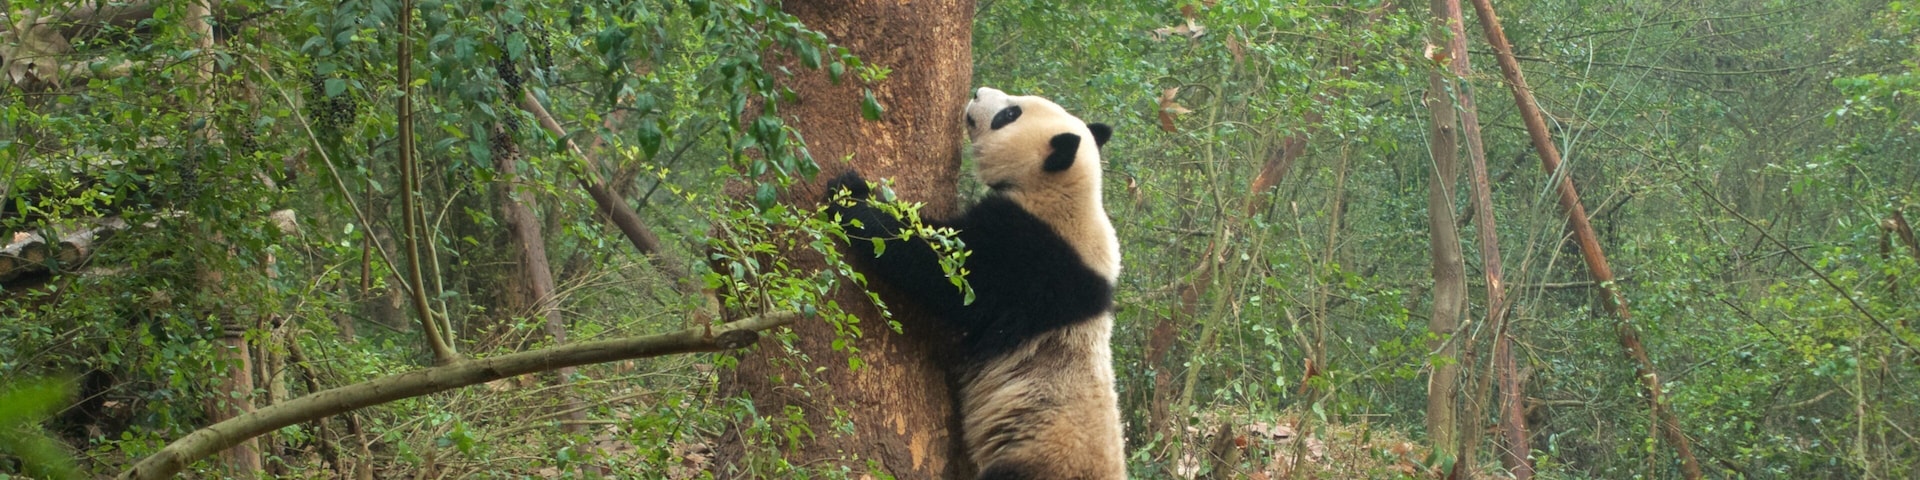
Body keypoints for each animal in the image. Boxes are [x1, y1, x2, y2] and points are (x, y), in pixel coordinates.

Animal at [825, 86, 1124, 480]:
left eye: (1009, 115)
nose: (979, 92)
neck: (1067, 191)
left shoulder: (1029, 256)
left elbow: (946, 272)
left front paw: (851, 196)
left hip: (1037, 457)